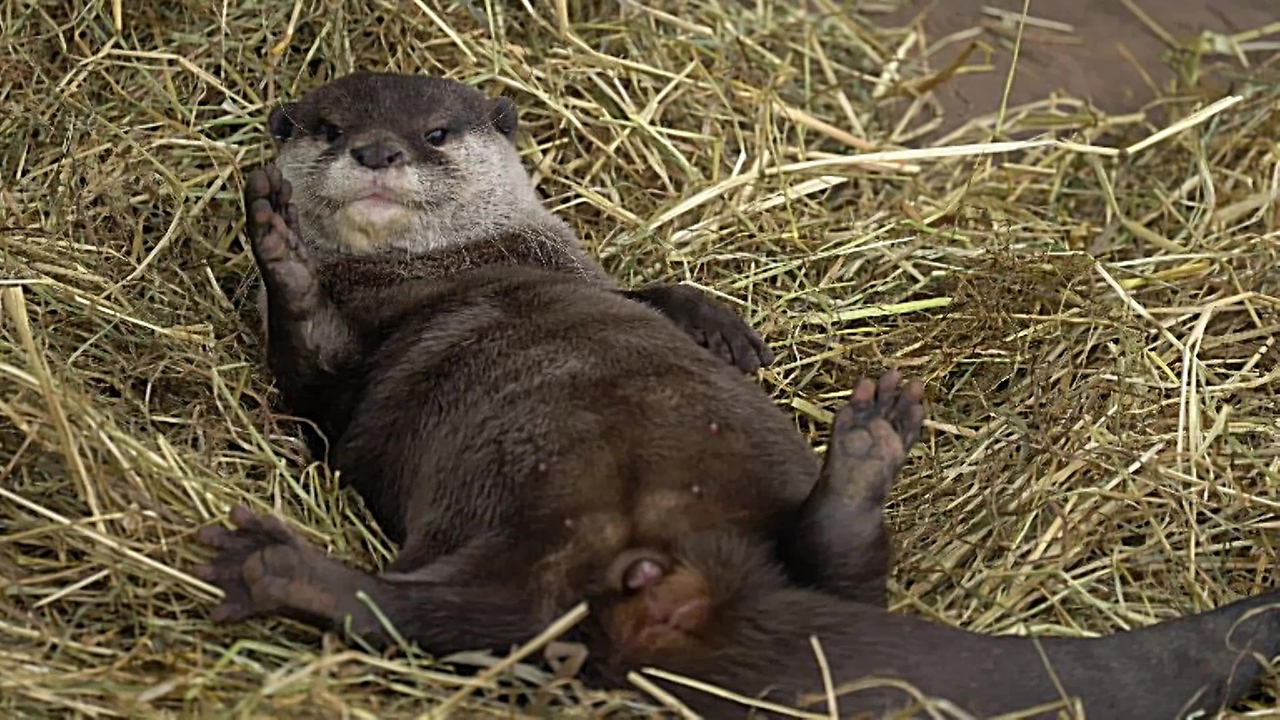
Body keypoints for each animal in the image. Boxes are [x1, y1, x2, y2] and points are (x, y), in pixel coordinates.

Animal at [194, 74, 1274, 717]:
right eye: (329, 125)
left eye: (433, 131)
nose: (375, 153)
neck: (452, 267)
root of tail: (677, 578)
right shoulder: (344, 384)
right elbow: (312, 377)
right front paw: (280, 250)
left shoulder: (574, 269)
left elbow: (649, 293)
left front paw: (723, 327)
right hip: (509, 557)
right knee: (435, 619)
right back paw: (278, 571)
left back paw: (864, 456)